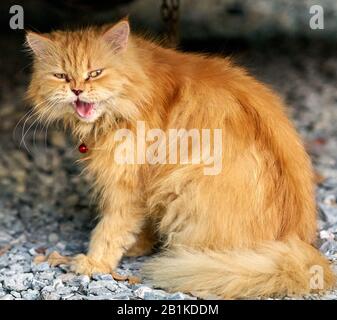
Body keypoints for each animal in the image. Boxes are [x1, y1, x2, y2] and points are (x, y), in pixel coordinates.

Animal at [25, 20, 334, 298]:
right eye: (61, 76)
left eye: (95, 73)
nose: (76, 89)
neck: (139, 92)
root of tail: (298, 246)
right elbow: (138, 225)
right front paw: (138, 246)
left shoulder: (127, 186)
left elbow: (110, 230)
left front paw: (94, 263)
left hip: (187, 190)